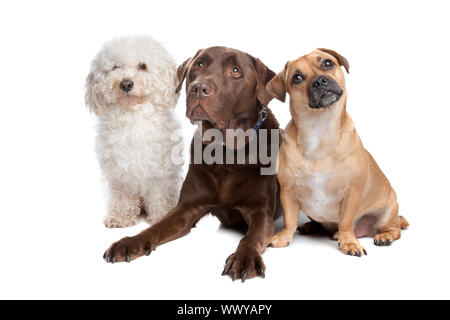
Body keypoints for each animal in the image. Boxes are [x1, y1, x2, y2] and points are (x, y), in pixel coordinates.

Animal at [84, 35, 183, 228]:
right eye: (116, 67)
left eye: (143, 66)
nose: (126, 84)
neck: (134, 117)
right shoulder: (119, 172)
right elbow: (123, 196)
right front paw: (120, 217)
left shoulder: (161, 172)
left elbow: (160, 195)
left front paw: (162, 216)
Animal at [266, 48, 410, 256]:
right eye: (297, 78)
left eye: (327, 63)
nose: (319, 81)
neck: (319, 130)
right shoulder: (288, 191)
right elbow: (290, 220)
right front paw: (283, 237)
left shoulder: (352, 192)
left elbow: (346, 222)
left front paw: (349, 242)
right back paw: (311, 226)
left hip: (387, 213)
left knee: (395, 228)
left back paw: (384, 236)